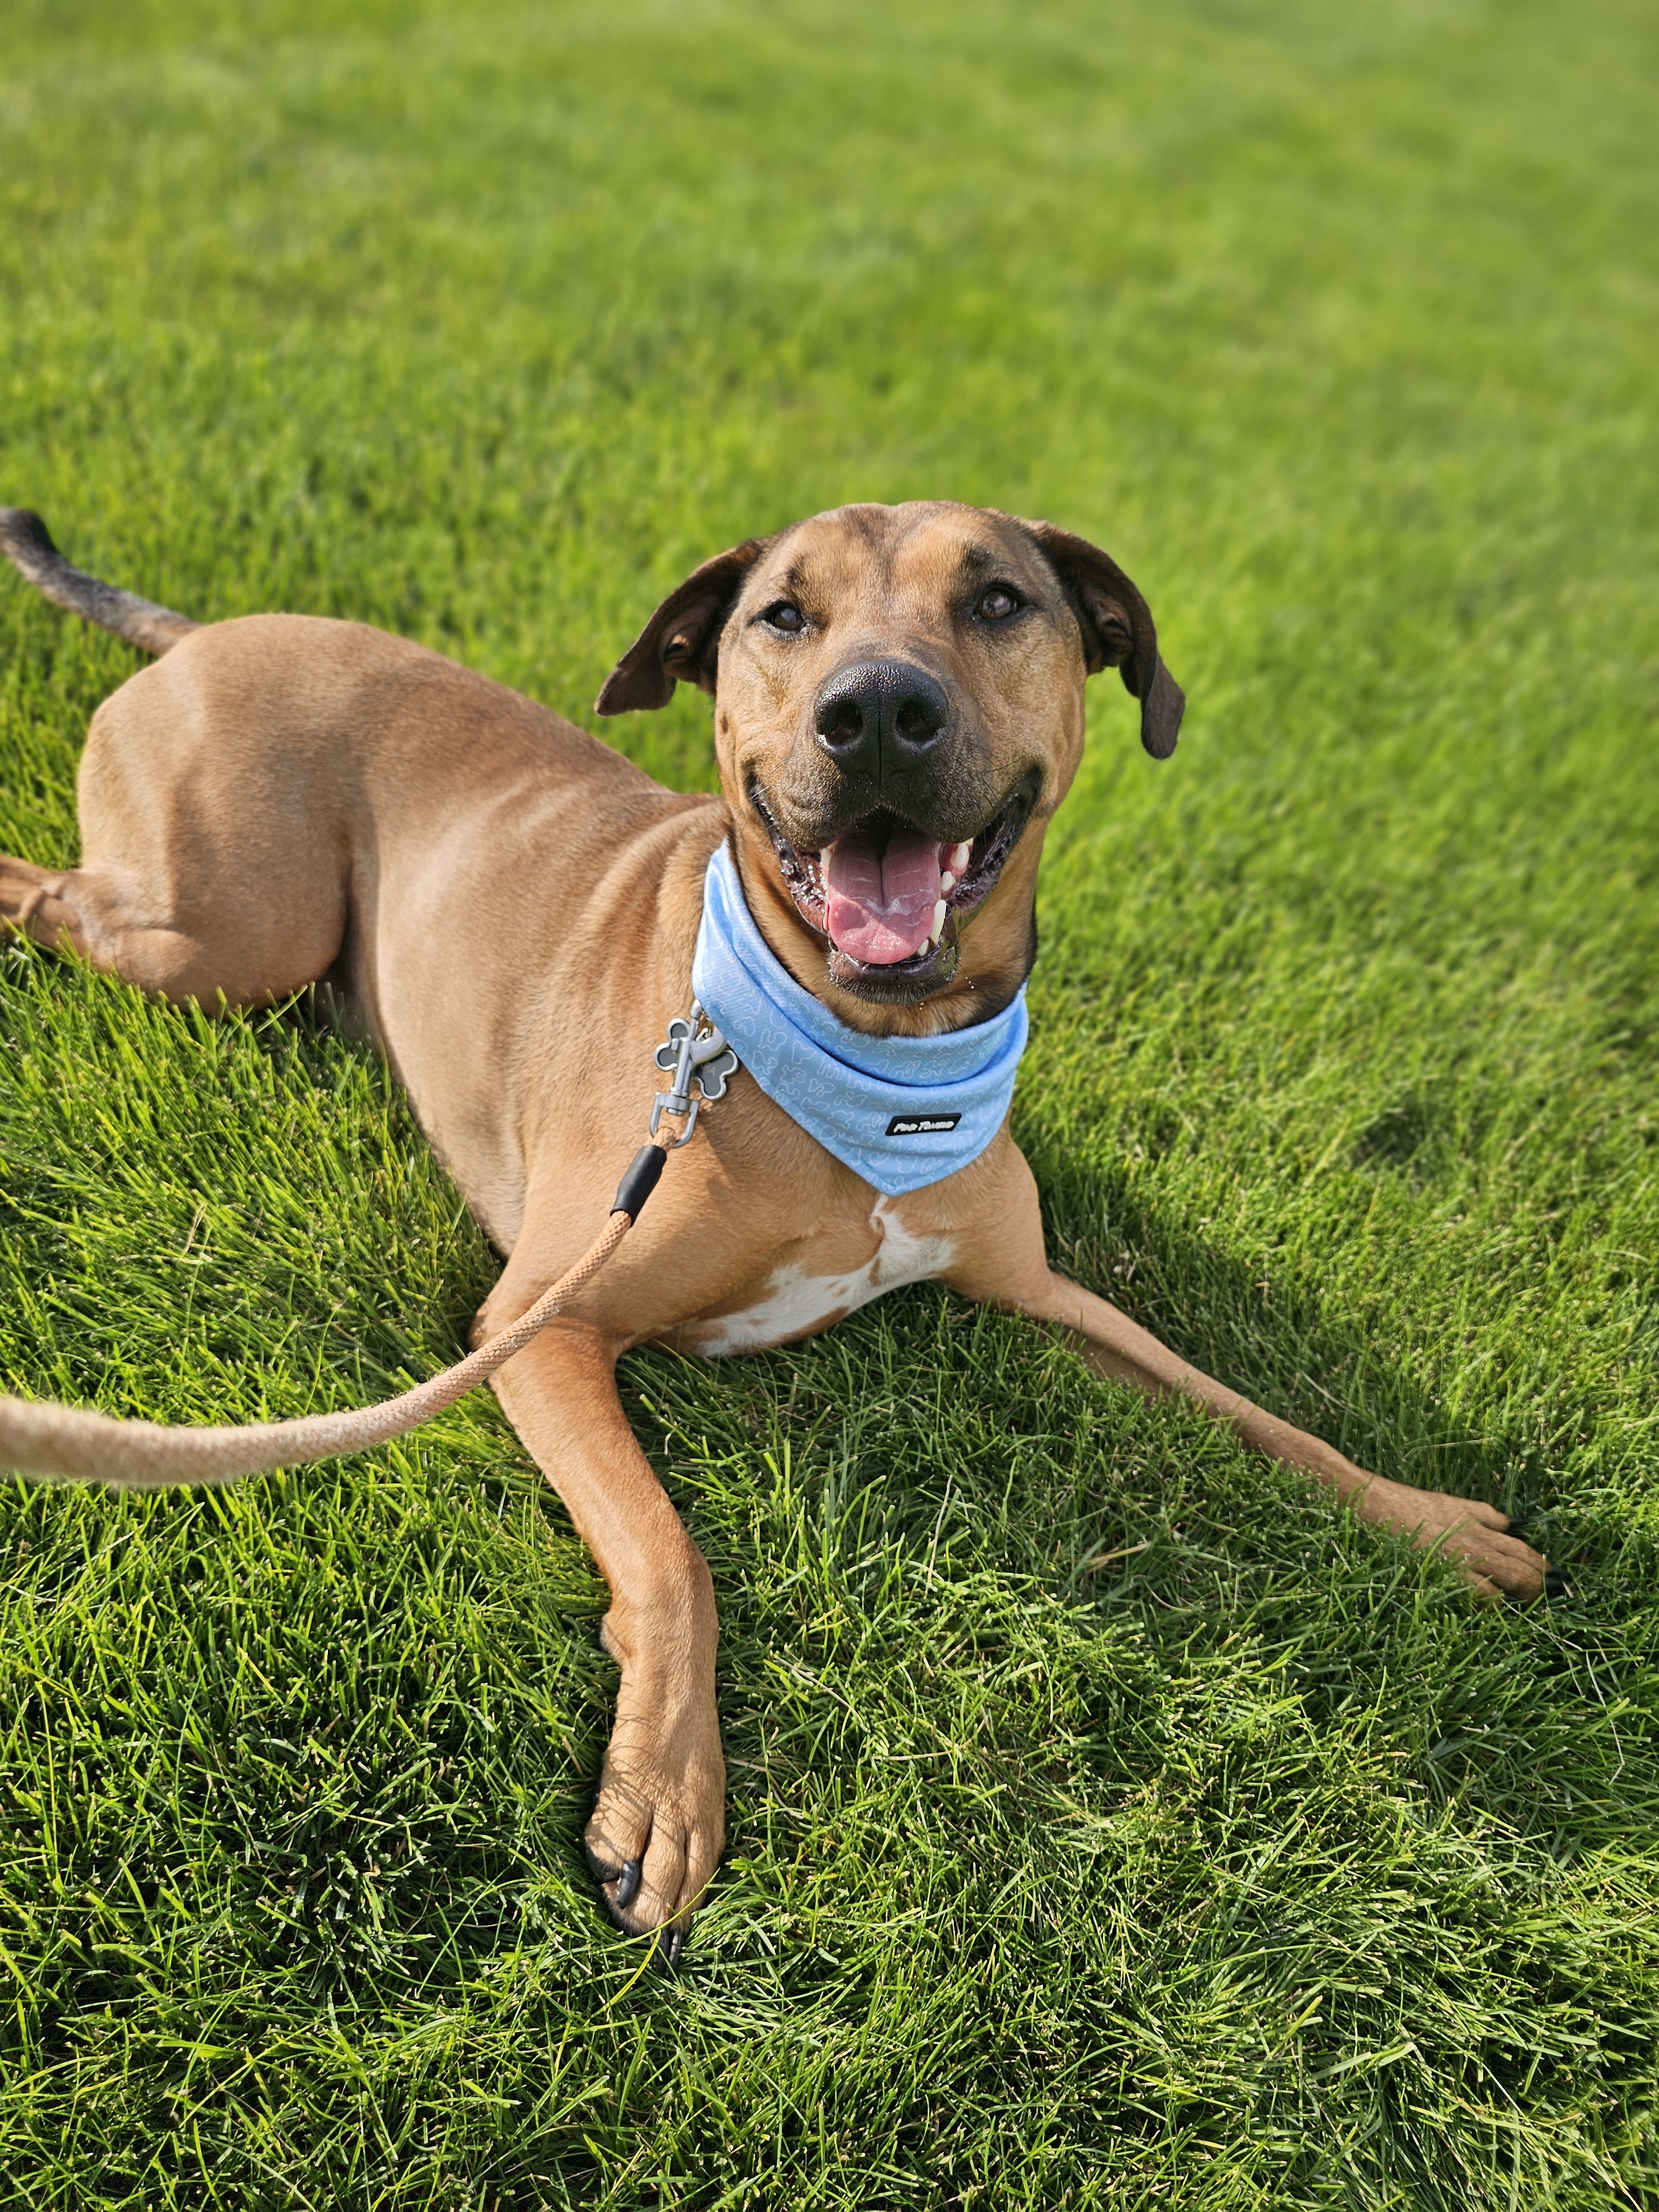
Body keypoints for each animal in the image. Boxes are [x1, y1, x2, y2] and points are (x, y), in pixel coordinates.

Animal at [3, 498, 1557, 1955]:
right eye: (783, 615)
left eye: (999, 599)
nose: (873, 712)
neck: (867, 1049)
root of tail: (206, 631)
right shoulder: (540, 1322)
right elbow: (668, 1552)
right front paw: (666, 1790)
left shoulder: (1045, 1295)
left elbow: (1257, 1414)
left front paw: (1429, 1522)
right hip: (222, 936)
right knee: (51, 892)